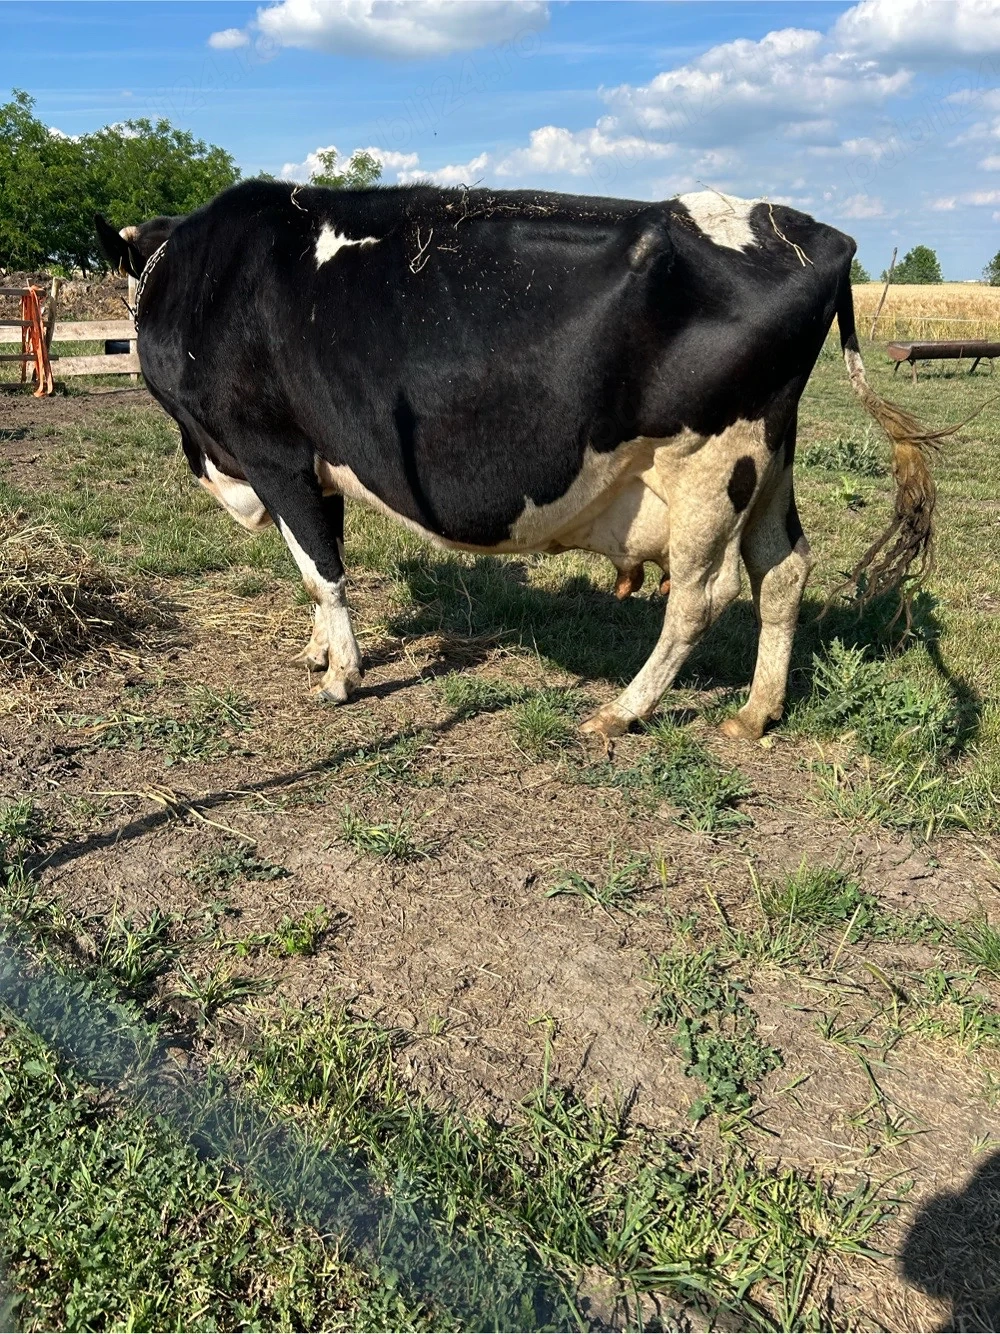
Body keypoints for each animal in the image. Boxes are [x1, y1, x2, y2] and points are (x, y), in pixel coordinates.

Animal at [94, 181, 945, 743]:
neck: (201, 276)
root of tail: (813, 233)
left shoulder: (271, 453)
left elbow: (319, 570)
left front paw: (341, 676)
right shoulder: (314, 466)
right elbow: (317, 552)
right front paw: (318, 652)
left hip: (710, 462)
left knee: (702, 596)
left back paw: (623, 710)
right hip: (771, 457)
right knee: (783, 570)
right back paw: (756, 711)